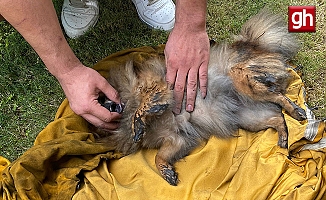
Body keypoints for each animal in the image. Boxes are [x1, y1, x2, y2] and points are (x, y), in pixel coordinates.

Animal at [93, 10, 306, 186]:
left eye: (102, 98)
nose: (108, 106)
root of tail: (254, 44)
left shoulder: (156, 87)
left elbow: (144, 105)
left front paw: (138, 121)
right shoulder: (176, 138)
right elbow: (159, 156)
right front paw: (166, 171)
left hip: (241, 79)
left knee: (278, 96)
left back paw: (296, 111)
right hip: (248, 117)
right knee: (277, 118)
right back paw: (283, 137)